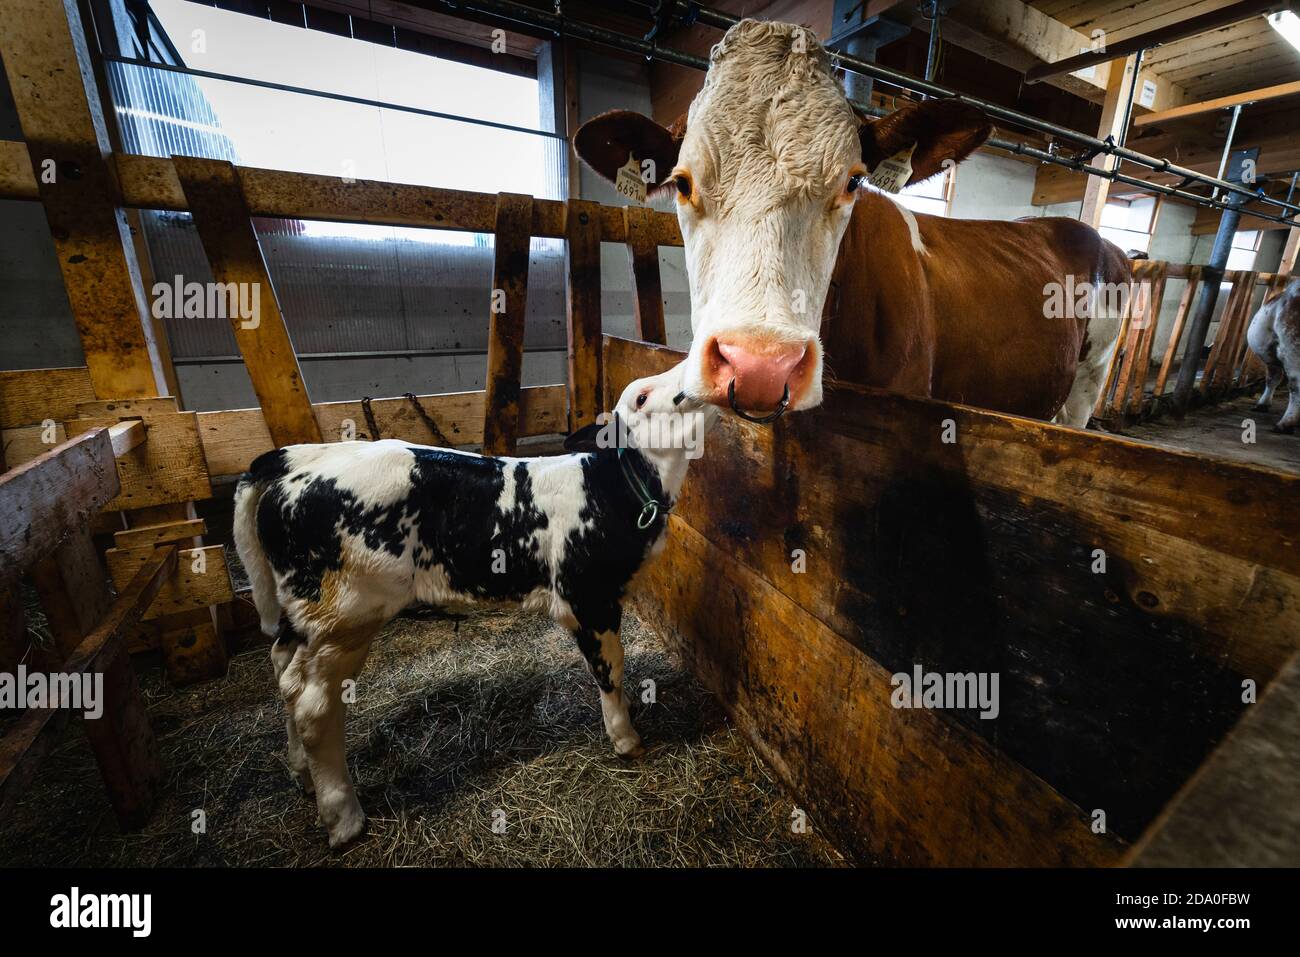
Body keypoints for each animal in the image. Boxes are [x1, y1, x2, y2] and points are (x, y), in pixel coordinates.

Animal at [233, 363, 715, 847]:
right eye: (641, 398)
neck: (609, 487)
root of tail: (293, 459)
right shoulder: (587, 597)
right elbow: (610, 669)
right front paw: (626, 738)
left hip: (307, 612)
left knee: (285, 673)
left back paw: (301, 774)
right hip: (346, 616)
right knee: (314, 705)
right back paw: (344, 817)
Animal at [1247, 277, 1300, 434]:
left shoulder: (1273, 356)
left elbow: (1272, 379)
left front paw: (1262, 404)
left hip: (1292, 349)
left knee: (1295, 386)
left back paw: (1285, 424)